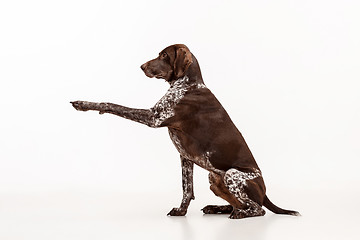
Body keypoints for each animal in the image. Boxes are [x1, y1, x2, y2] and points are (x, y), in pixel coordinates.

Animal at [71, 43, 300, 219]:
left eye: (164, 55)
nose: (142, 66)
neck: (189, 84)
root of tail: (265, 192)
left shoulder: (154, 117)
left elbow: (112, 105)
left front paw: (85, 104)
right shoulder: (185, 158)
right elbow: (187, 188)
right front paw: (181, 212)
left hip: (232, 175)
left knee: (257, 209)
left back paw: (240, 214)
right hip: (215, 179)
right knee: (240, 204)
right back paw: (218, 208)